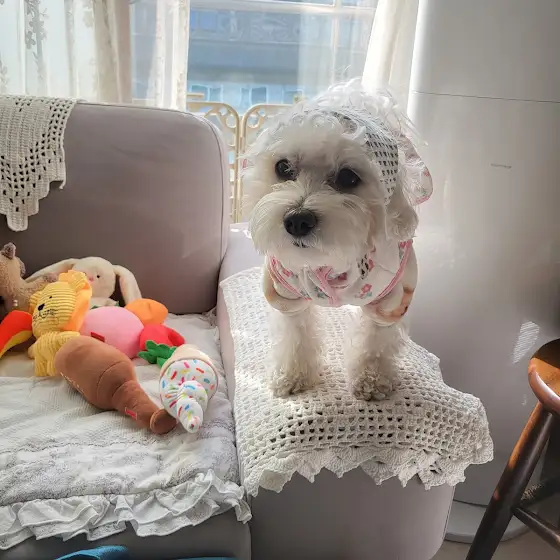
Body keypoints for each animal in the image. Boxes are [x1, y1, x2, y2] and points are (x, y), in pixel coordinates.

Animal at [242, 82, 432, 400]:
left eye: (348, 177)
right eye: (283, 167)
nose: (297, 220)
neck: (328, 263)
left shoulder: (391, 297)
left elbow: (376, 339)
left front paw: (371, 379)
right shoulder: (285, 291)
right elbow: (295, 332)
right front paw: (292, 374)